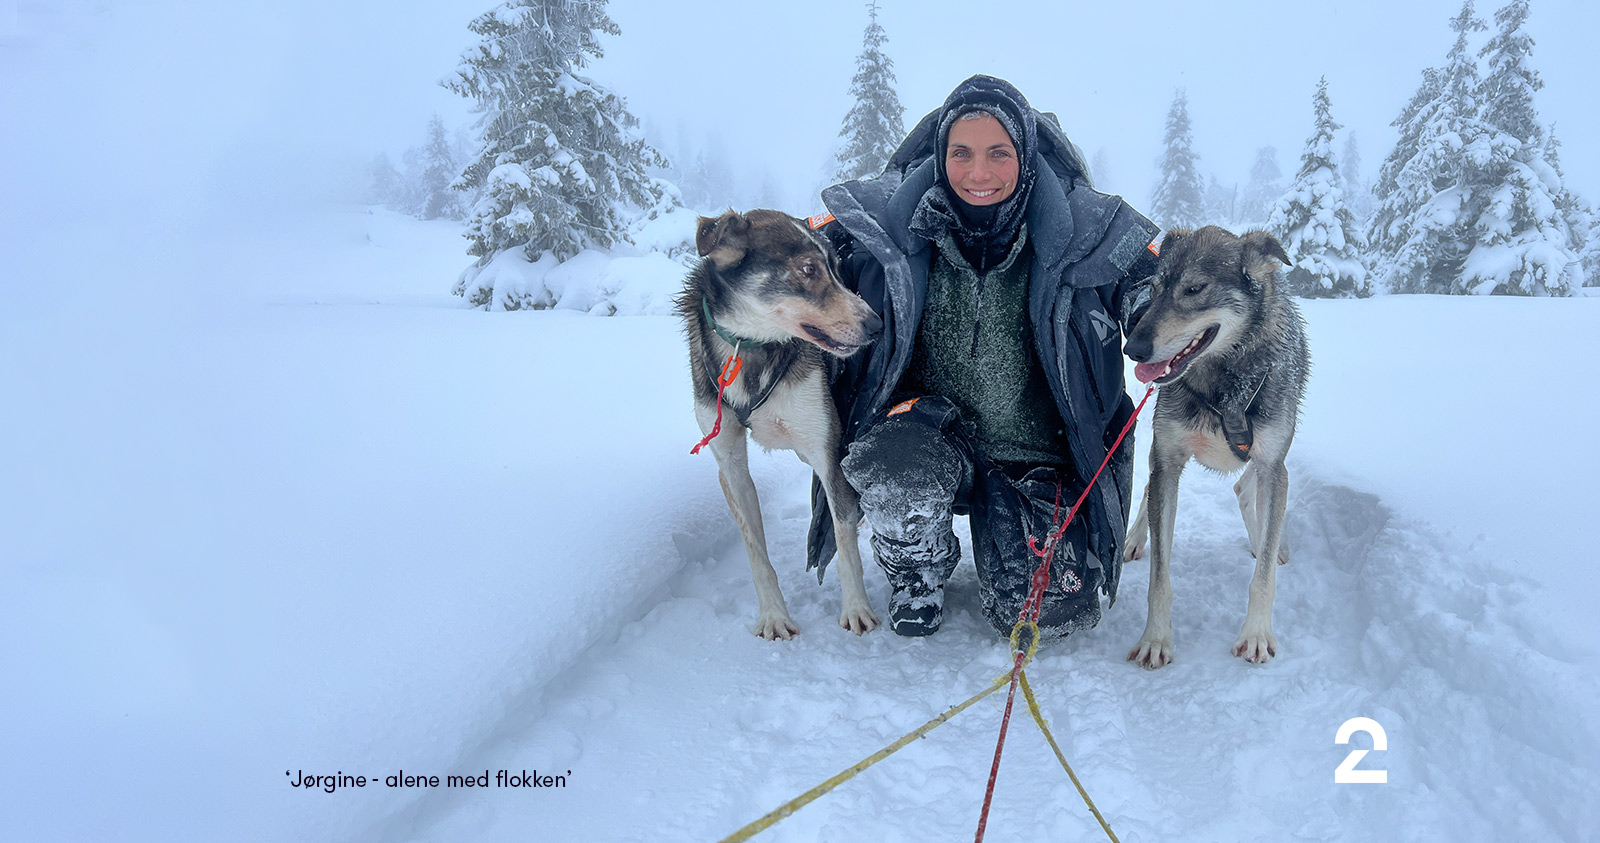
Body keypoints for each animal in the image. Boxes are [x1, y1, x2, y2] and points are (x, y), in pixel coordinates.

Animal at [672, 211, 883, 639]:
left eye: (837, 268)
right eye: (808, 269)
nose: (876, 325)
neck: (750, 348)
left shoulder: (827, 453)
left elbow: (844, 542)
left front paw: (856, 608)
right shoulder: (730, 463)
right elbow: (756, 550)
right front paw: (773, 614)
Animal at [1120, 227, 1305, 668]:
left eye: (1194, 289)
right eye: (1154, 289)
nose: (1133, 348)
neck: (1223, 385)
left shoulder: (1274, 464)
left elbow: (1264, 577)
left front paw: (1255, 634)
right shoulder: (1168, 460)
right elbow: (1159, 577)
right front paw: (1155, 638)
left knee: (1246, 492)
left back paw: (1262, 541)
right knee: (1150, 487)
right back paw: (1135, 537)